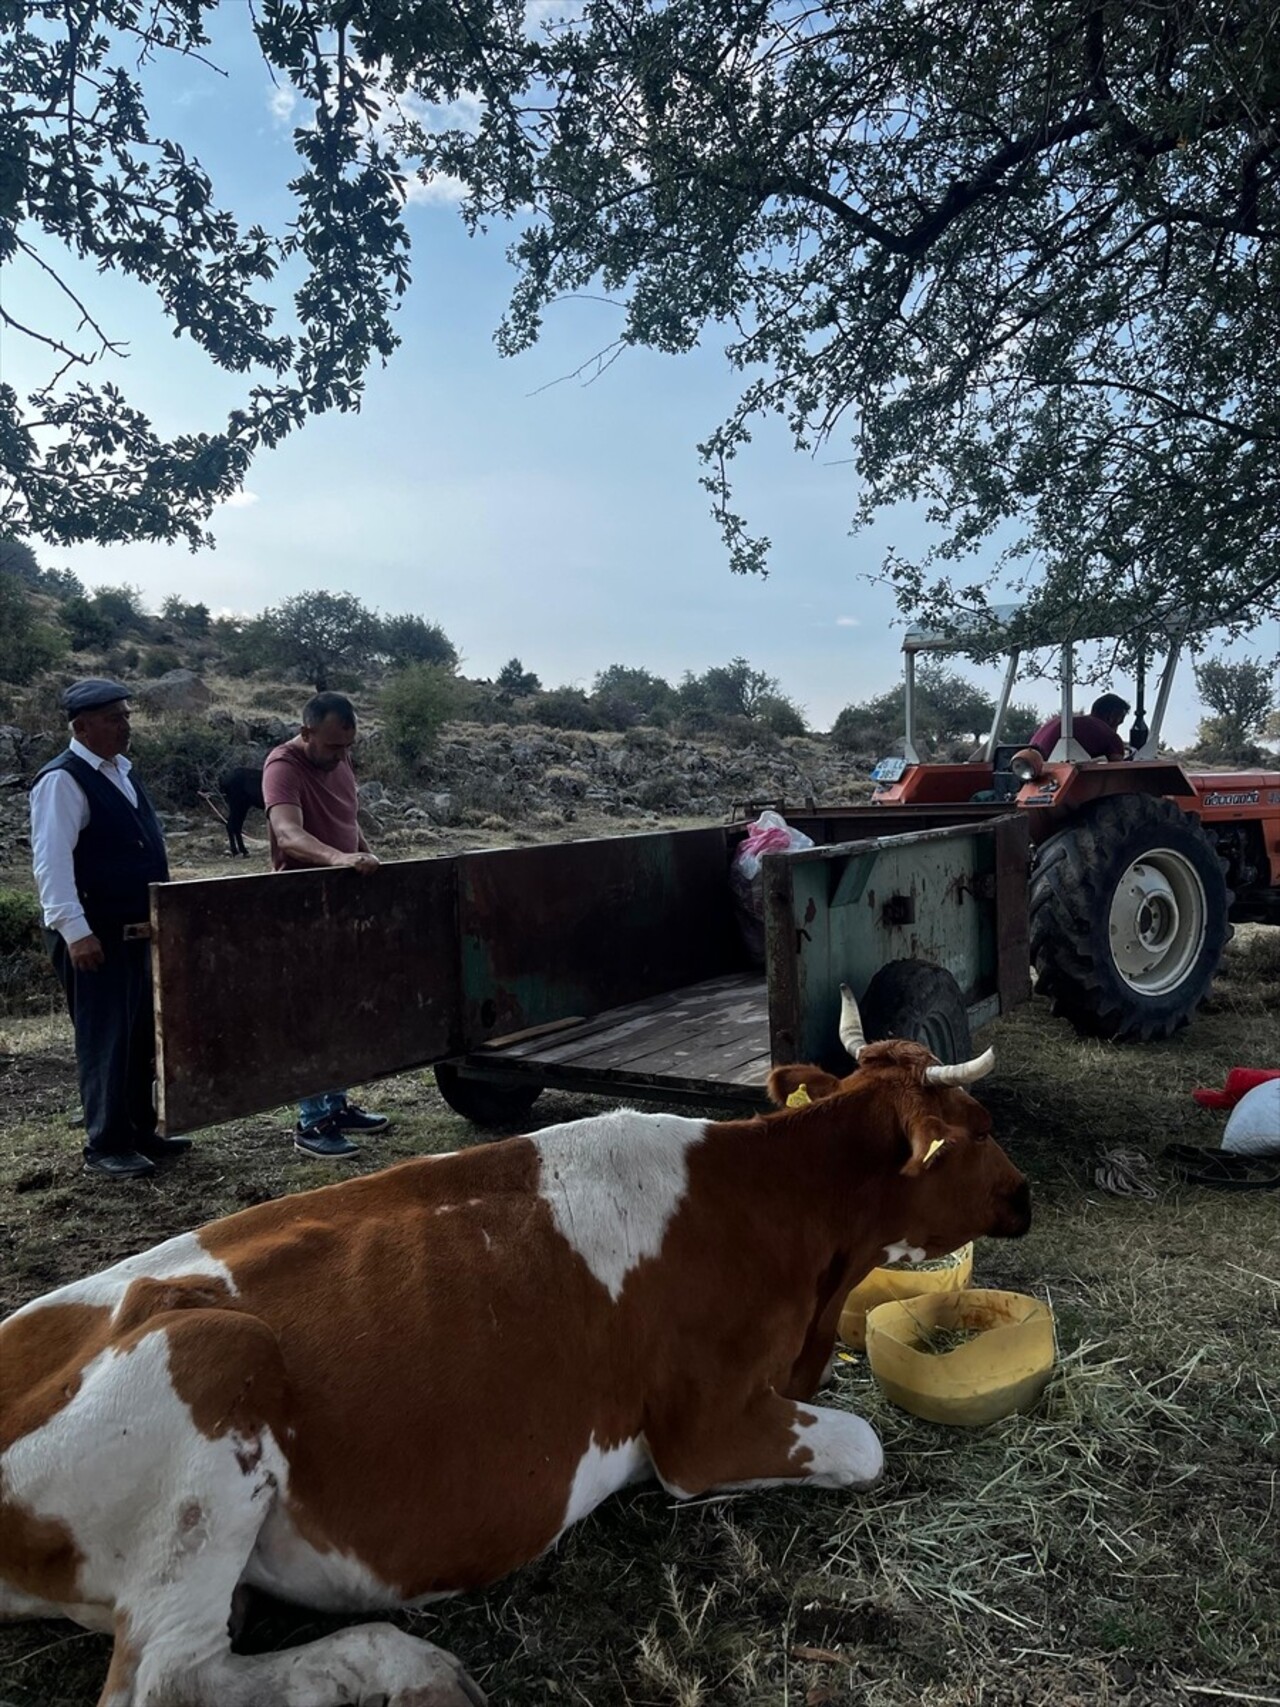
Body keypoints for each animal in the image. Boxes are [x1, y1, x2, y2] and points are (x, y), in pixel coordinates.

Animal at [0, 990, 1030, 1707]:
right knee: (166, 1678)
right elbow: (864, 1442)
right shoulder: (702, 1429)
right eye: (981, 1130)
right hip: (216, 1357)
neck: (782, 1210)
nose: (1025, 1195)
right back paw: (402, 1664)